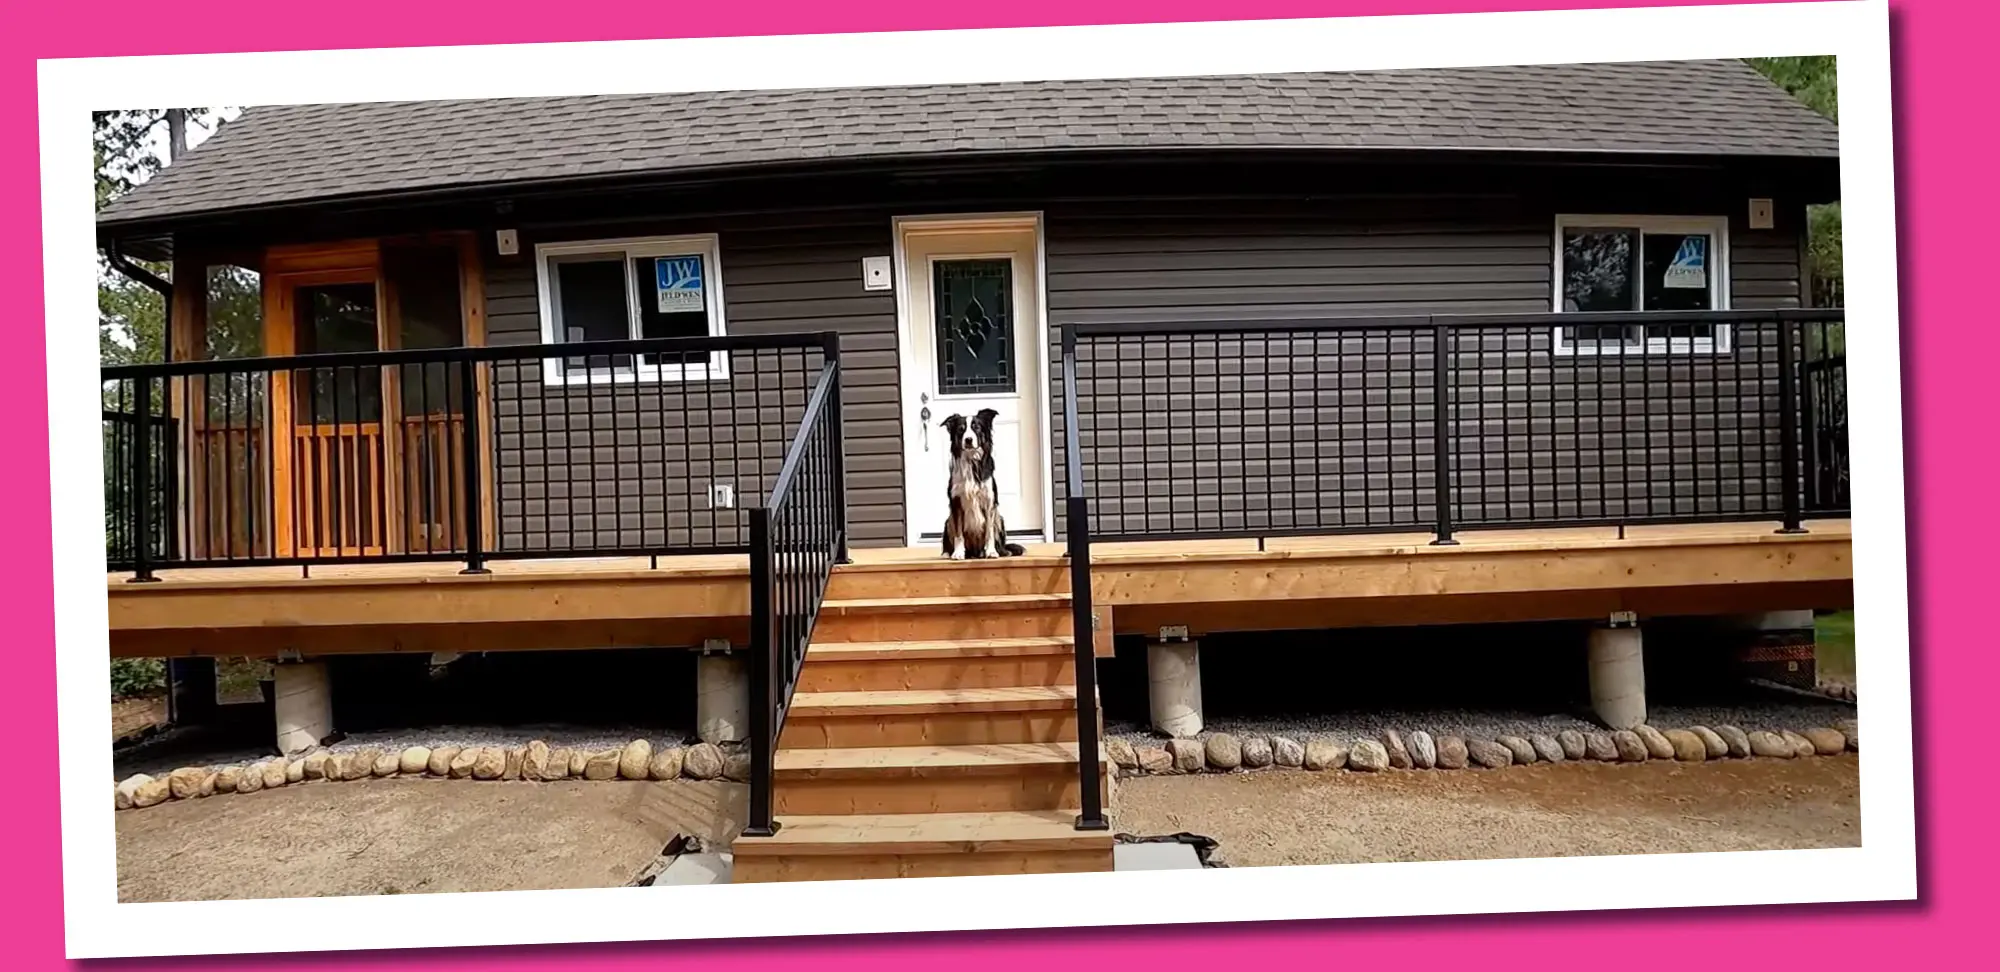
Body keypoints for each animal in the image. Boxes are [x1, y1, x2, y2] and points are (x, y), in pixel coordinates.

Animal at [940, 408, 1024, 560]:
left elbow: (989, 532)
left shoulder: (989, 502)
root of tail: (974, 552)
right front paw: (958, 553)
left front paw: (991, 552)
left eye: (977, 428)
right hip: (948, 521)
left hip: (999, 518)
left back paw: (999, 552)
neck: (971, 461)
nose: (968, 439)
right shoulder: (956, 502)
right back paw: (947, 553)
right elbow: (958, 533)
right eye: (961, 429)